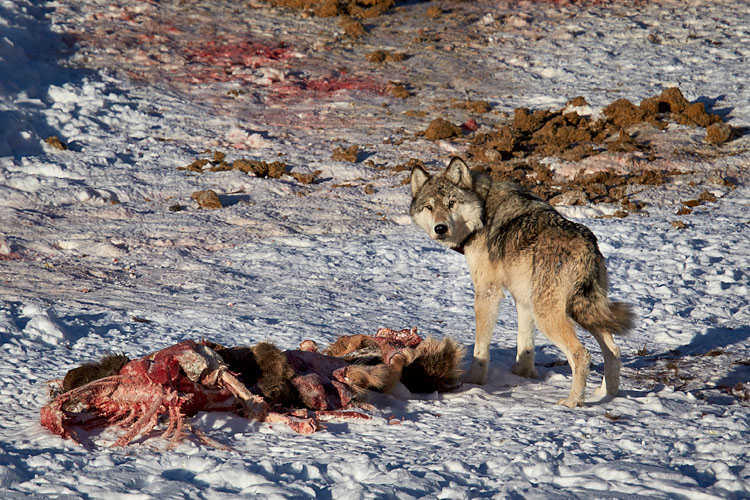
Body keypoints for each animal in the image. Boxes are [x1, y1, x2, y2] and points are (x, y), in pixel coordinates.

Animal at [409, 157, 634, 407]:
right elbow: (525, 343)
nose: (440, 228)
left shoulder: (487, 293)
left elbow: (480, 348)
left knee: (582, 354)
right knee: (613, 350)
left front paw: (473, 381)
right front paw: (522, 374)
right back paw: (608, 395)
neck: (483, 212)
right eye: (429, 207)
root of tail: (586, 247)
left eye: (451, 203)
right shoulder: (522, 298)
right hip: (581, 310)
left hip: (550, 315)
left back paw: (573, 401)